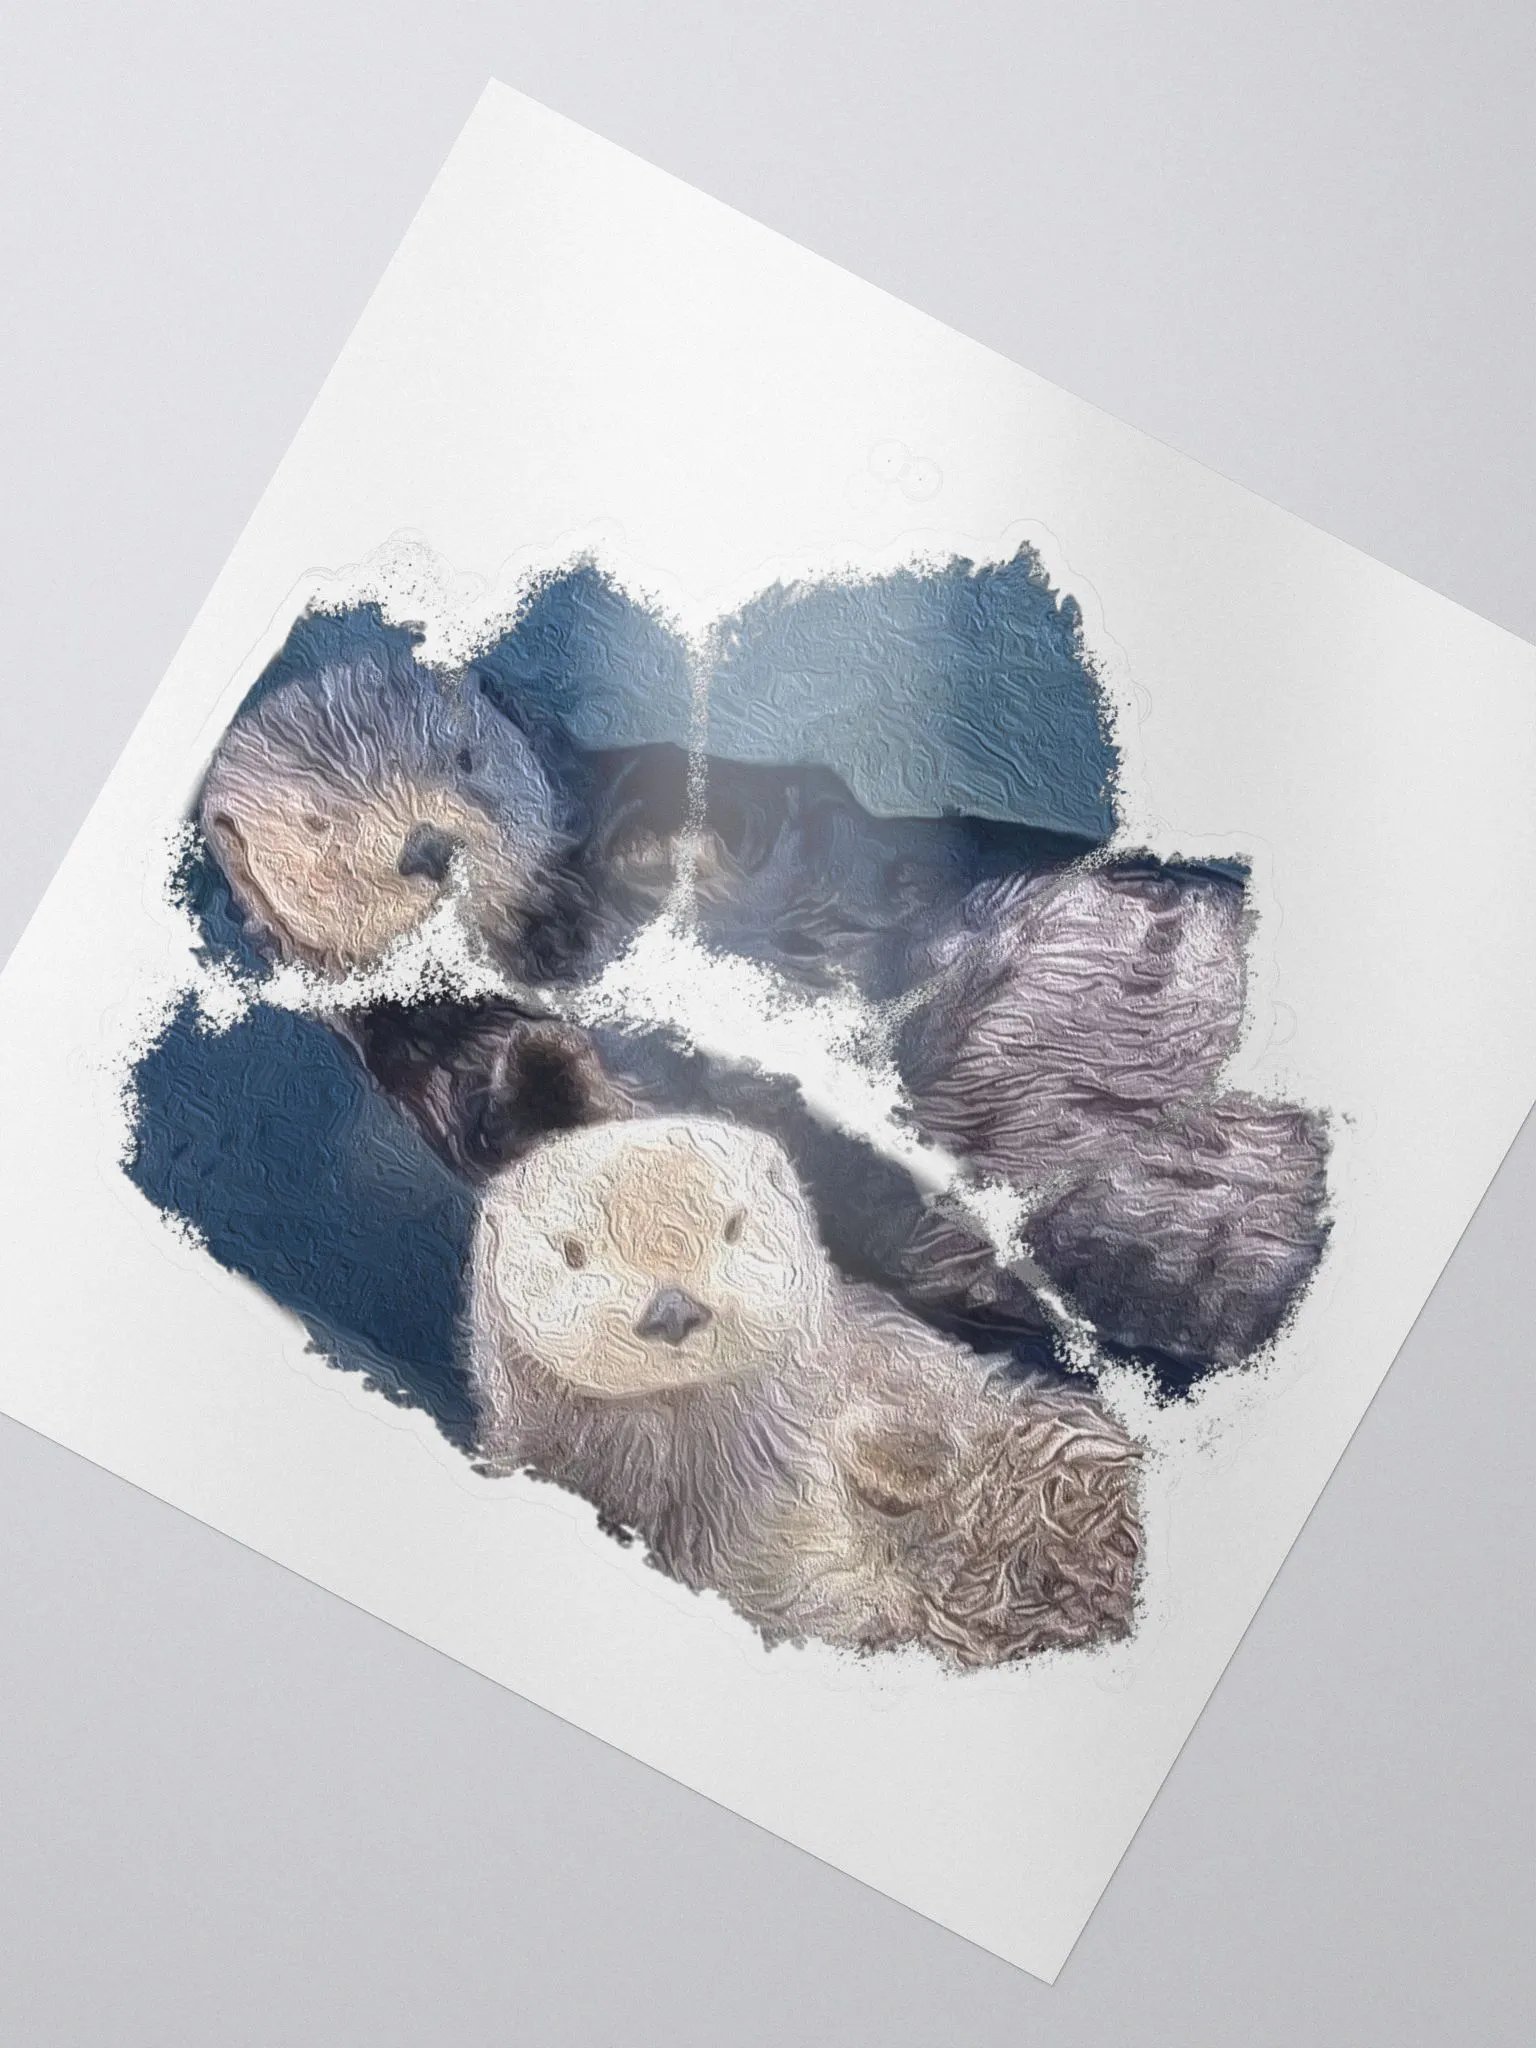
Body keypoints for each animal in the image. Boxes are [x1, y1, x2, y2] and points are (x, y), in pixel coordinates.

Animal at [468, 1117, 1142, 1666]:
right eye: (572, 1252)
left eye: (734, 1226)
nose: (673, 1311)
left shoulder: (890, 1354)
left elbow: (940, 1401)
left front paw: (909, 1463)